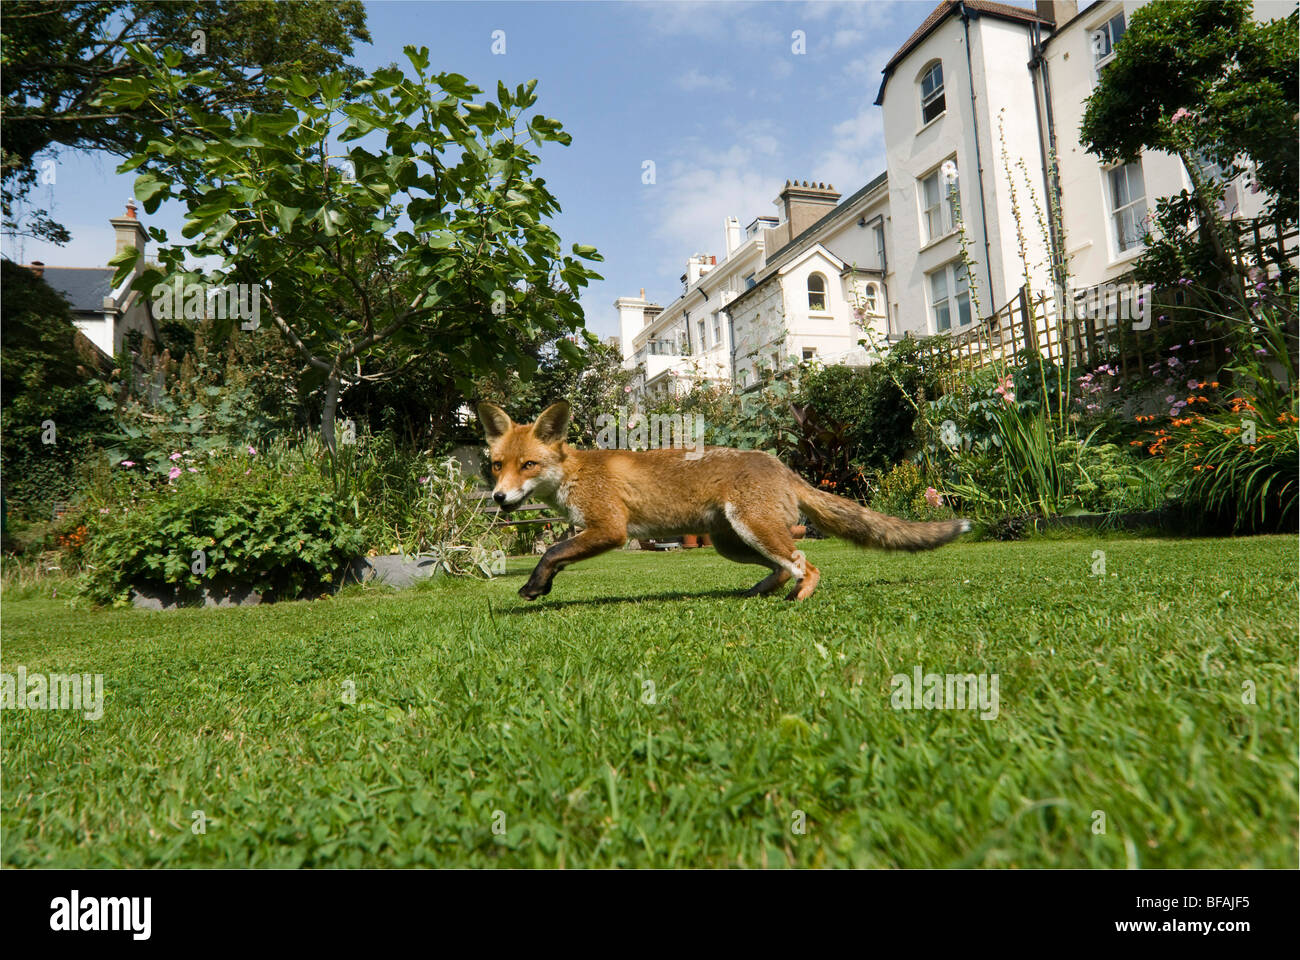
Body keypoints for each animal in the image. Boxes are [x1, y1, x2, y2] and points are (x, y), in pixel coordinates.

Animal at [478, 398, 967, 598]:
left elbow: (551, 552)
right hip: (735, 543)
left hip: (755, 530)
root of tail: (780, 464)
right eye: (496, 464)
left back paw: (799, 598)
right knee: (783, 567)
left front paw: (534, 586)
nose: (499, 498)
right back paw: (761, 592)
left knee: (806, 564)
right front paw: (542, 586)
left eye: (528, 465)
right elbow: (557, 555)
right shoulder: (590, 530)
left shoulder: (609, 529)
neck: (574, 474)